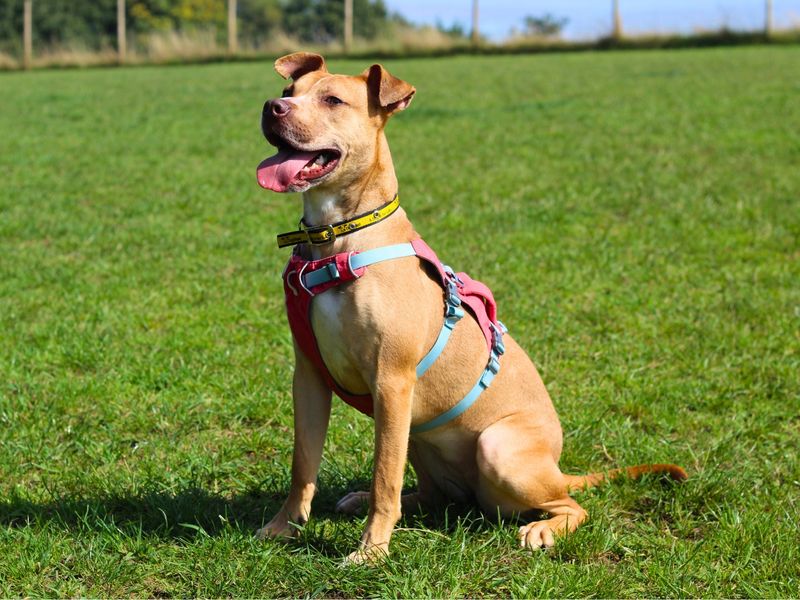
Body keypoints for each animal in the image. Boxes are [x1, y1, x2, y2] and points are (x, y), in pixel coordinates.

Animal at [253, 51, 684, 564]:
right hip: (418, 433)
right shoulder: (310, 377)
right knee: (430, 494)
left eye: (333, 100)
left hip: (495, 448)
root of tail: (558, 467)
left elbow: (384, 478)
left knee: (570, 505)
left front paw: (372, 551)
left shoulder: (391, 380)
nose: (271, 107)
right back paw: (366, 500)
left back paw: (543, 529)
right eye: (290, 93)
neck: (338, 240)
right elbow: (304, 463)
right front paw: (284, 526)